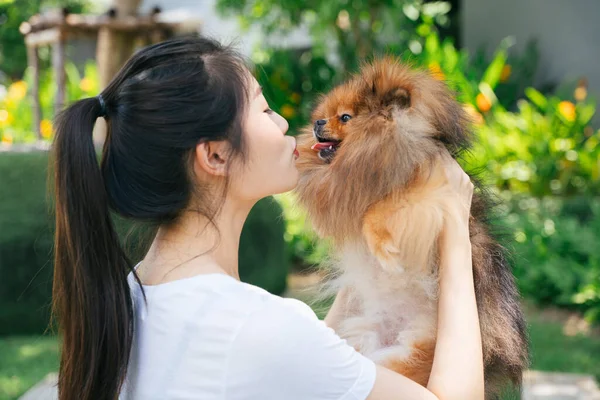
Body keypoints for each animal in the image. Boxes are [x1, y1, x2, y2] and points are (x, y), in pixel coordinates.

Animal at [296, 58, 528, 396]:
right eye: (323, 115)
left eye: (345, 117)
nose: (316, 123)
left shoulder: (433, 197)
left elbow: (378, 211)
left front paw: (384, 250)